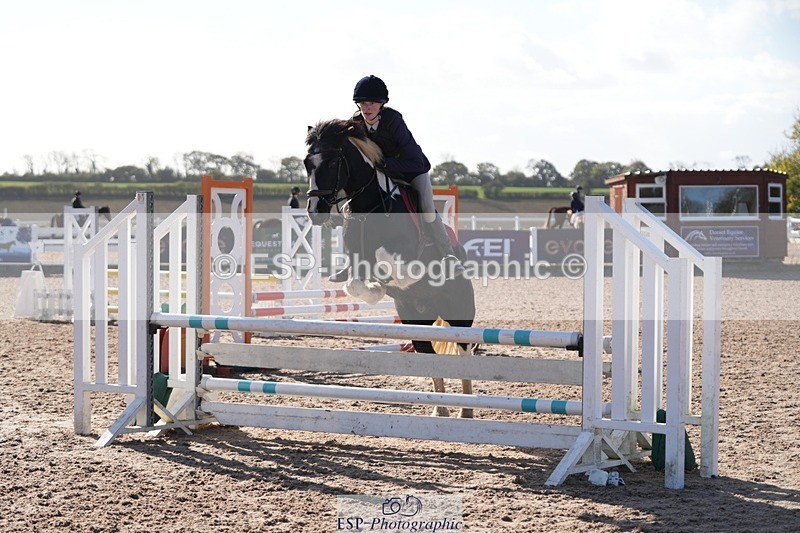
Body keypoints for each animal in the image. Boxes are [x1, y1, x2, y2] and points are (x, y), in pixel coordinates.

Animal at [304, 119, 477, 417]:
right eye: (307, 163)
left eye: (332, 162)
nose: (315, 211)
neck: (370, 206)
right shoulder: (354, 259)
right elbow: (353, 282)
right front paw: (374, 288)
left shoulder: (408, 260)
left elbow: (387, 261)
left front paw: (377, 285)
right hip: (415, 321)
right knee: (428, 353)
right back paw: (440, 411)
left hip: (460, 315)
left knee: (464, 352)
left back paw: (465, 412)